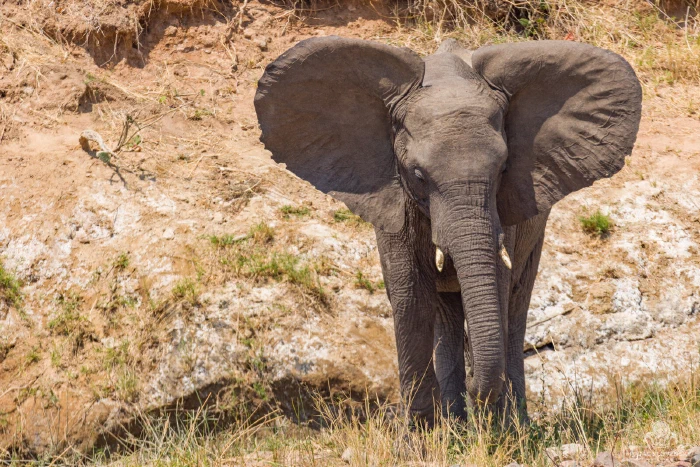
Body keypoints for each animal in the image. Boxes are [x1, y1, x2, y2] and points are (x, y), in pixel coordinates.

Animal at [254, 36, 642, 425]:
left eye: (503, 169)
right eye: (418, 175)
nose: (475, 385)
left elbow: (497, 288)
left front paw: (496, 433)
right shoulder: (394, 198)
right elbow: (410, 298)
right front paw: (423, 438)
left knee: (515, 305)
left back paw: (512, 425)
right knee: (447, 315)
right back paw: (456, 423)